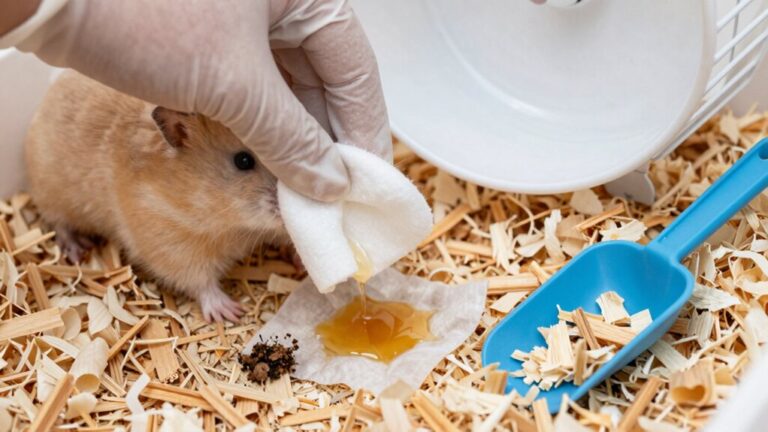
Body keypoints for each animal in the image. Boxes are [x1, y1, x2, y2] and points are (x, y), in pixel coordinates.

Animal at [25, 71, 288, 322]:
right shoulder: (169, 244)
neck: (232, 226)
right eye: (243, 160)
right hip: (52, 193)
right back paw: (78, 251)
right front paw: (231, 312)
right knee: (59, 224)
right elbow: (199, 281)